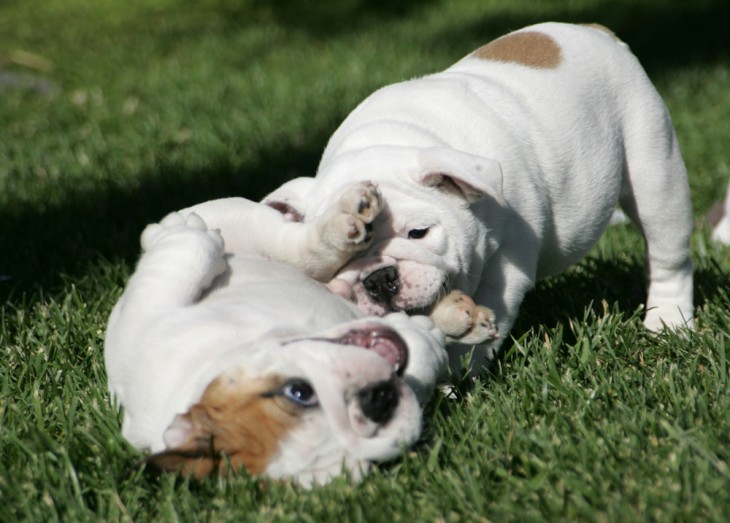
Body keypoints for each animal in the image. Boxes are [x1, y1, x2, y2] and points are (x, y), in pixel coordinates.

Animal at [105, 184, 450, 488]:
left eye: (298, 390)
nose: (377, 400)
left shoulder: (146, 327)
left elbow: (181, 259)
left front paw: (180, 235)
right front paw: (425, 339)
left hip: (237, 217)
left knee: (286, 244)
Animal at [264, 21, 692, 372]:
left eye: (418, 233)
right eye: (341, 256)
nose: (380, 279)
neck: (389, 138)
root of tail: (596, 30)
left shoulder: (506, 269)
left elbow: (480, 327)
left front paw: (457, 376)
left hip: (655, 167)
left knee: (668, 255)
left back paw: (668, 323)